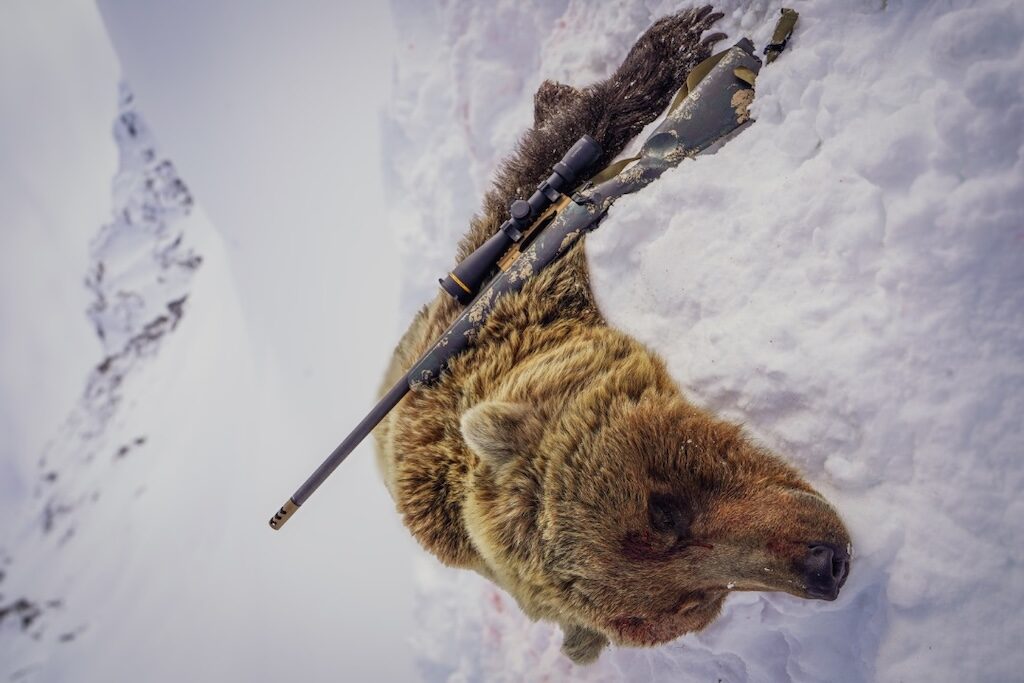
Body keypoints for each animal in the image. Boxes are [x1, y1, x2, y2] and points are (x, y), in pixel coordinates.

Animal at [373, 6, 851, 665]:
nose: (825, 564)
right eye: (698, 601)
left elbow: (556, 153)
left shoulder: (512, 273)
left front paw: (668, 48)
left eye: (661, 509)